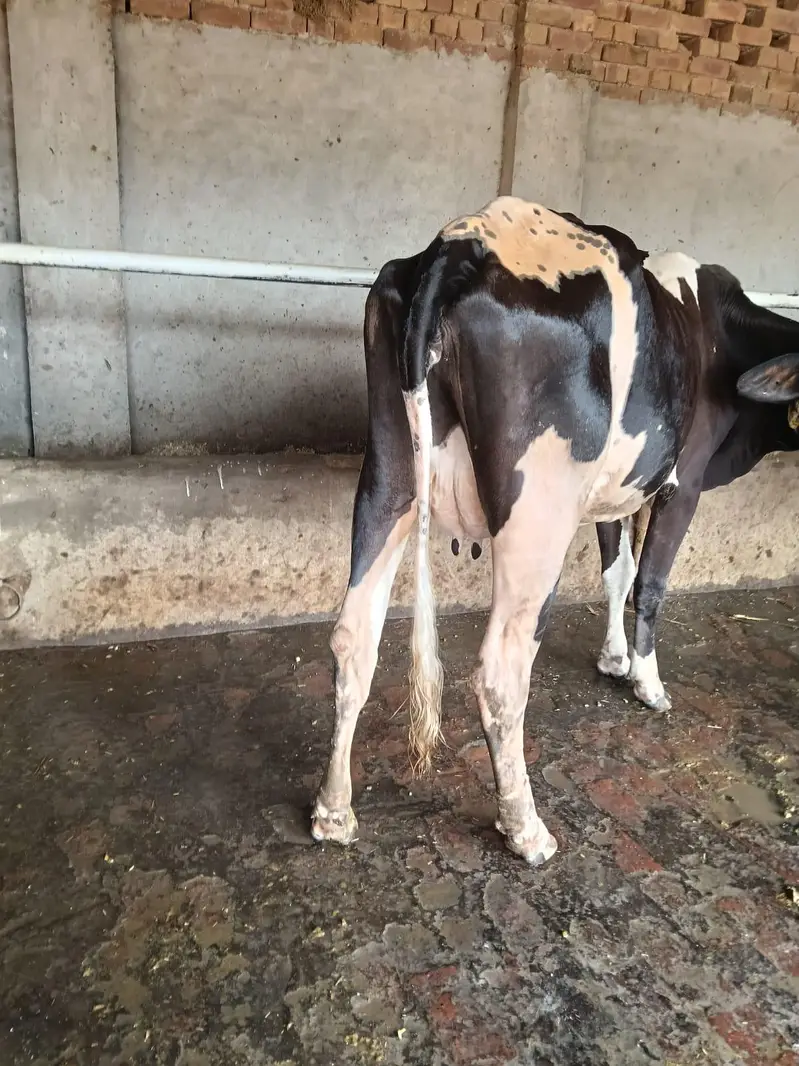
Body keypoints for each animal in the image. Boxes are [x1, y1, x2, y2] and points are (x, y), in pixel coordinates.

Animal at [310, 196, 799, 866]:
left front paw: (614, 659)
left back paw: (334, 812)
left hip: (388, 475)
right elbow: (650, 582)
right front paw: (647, 681)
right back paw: (526, 828)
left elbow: (617, 571)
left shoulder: (616, 491)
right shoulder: (685, 480)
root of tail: (463, 240)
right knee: (501, 669)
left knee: (352, 638)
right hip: (537, 511)